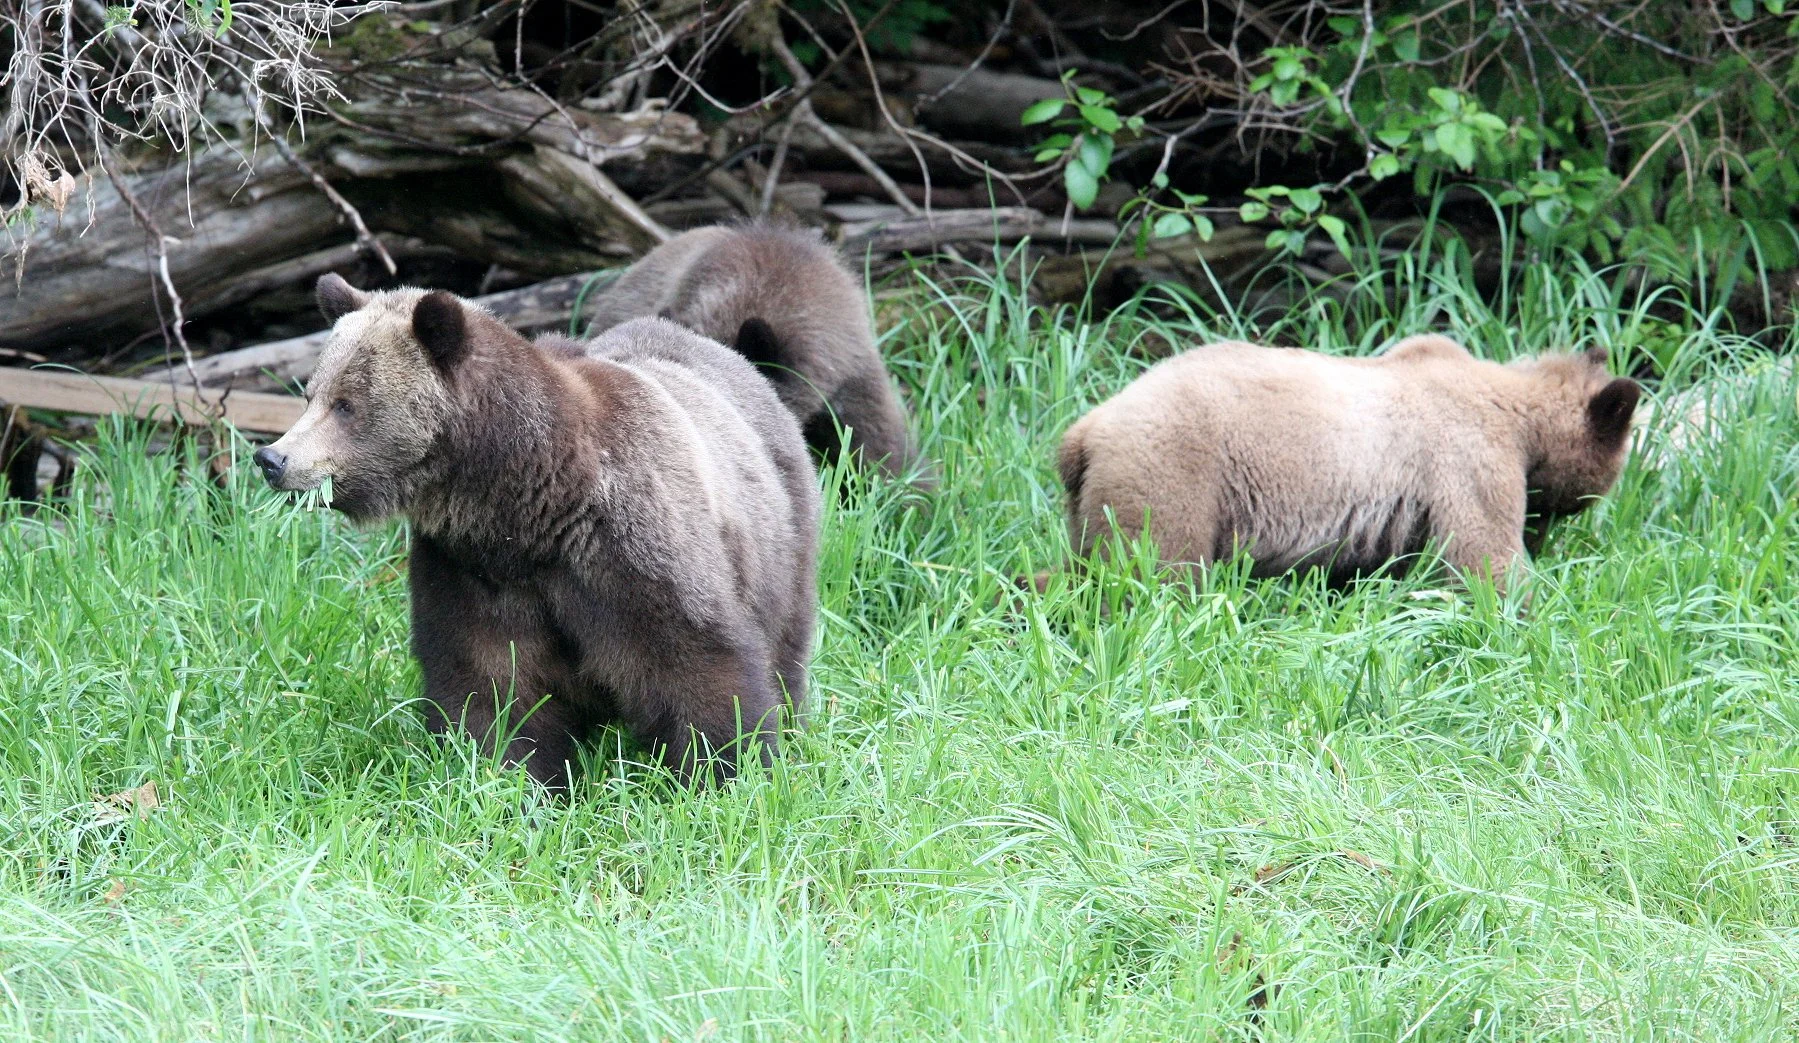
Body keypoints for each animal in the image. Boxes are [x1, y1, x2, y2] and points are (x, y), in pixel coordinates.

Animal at [252, 273, 820, 792]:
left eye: (346, 404)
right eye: (311, 395)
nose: (273, 458)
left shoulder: (627, 545)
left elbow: (695, 661)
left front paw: (727, 772)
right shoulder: (472, 568)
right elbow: (492, 687)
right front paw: (507, 778)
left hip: (781, 534)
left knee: (785, 639)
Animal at [1056, 335, 1641, 592]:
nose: (1543, 537)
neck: (1518, 415)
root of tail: (1082, 434)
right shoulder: (1467, 457)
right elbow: (1483, 555)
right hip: (1174, 471)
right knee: (1151, 571)